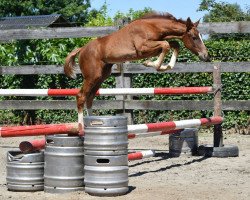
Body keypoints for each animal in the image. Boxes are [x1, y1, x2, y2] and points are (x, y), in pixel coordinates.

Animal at [64, 12, 209, 131]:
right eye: (194, 37)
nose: (206, 56)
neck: (152, 26)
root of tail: (82, 49)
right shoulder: (143, 48)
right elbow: (166, 45)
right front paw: (154, 64)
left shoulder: (154, 46)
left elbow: (172, 45)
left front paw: (164, 66)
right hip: (92, 76)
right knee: (81, 96)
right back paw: (81, 127)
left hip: (101, 76)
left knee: (90, 97)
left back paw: (91, 122)